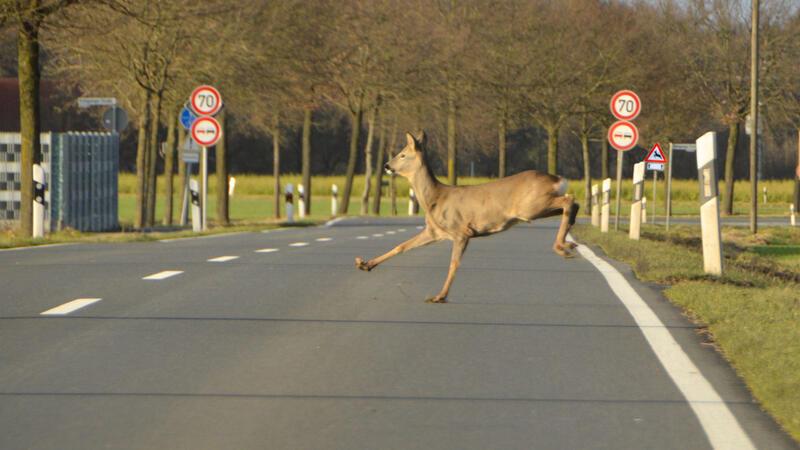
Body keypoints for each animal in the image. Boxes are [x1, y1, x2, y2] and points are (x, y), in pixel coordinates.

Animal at [354, 132, 580, 304]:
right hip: (538, 207)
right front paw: (364, 264)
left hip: (530, 207)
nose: (386, 165)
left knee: (569, 200)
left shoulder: (461, 231)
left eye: (402, 155)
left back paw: (562, 247)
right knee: (571, 204)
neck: (435, 198)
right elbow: (400, 246)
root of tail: (557, 179)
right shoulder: (434, 231)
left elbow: (453, 263)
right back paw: (567, 244)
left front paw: (439, 296)